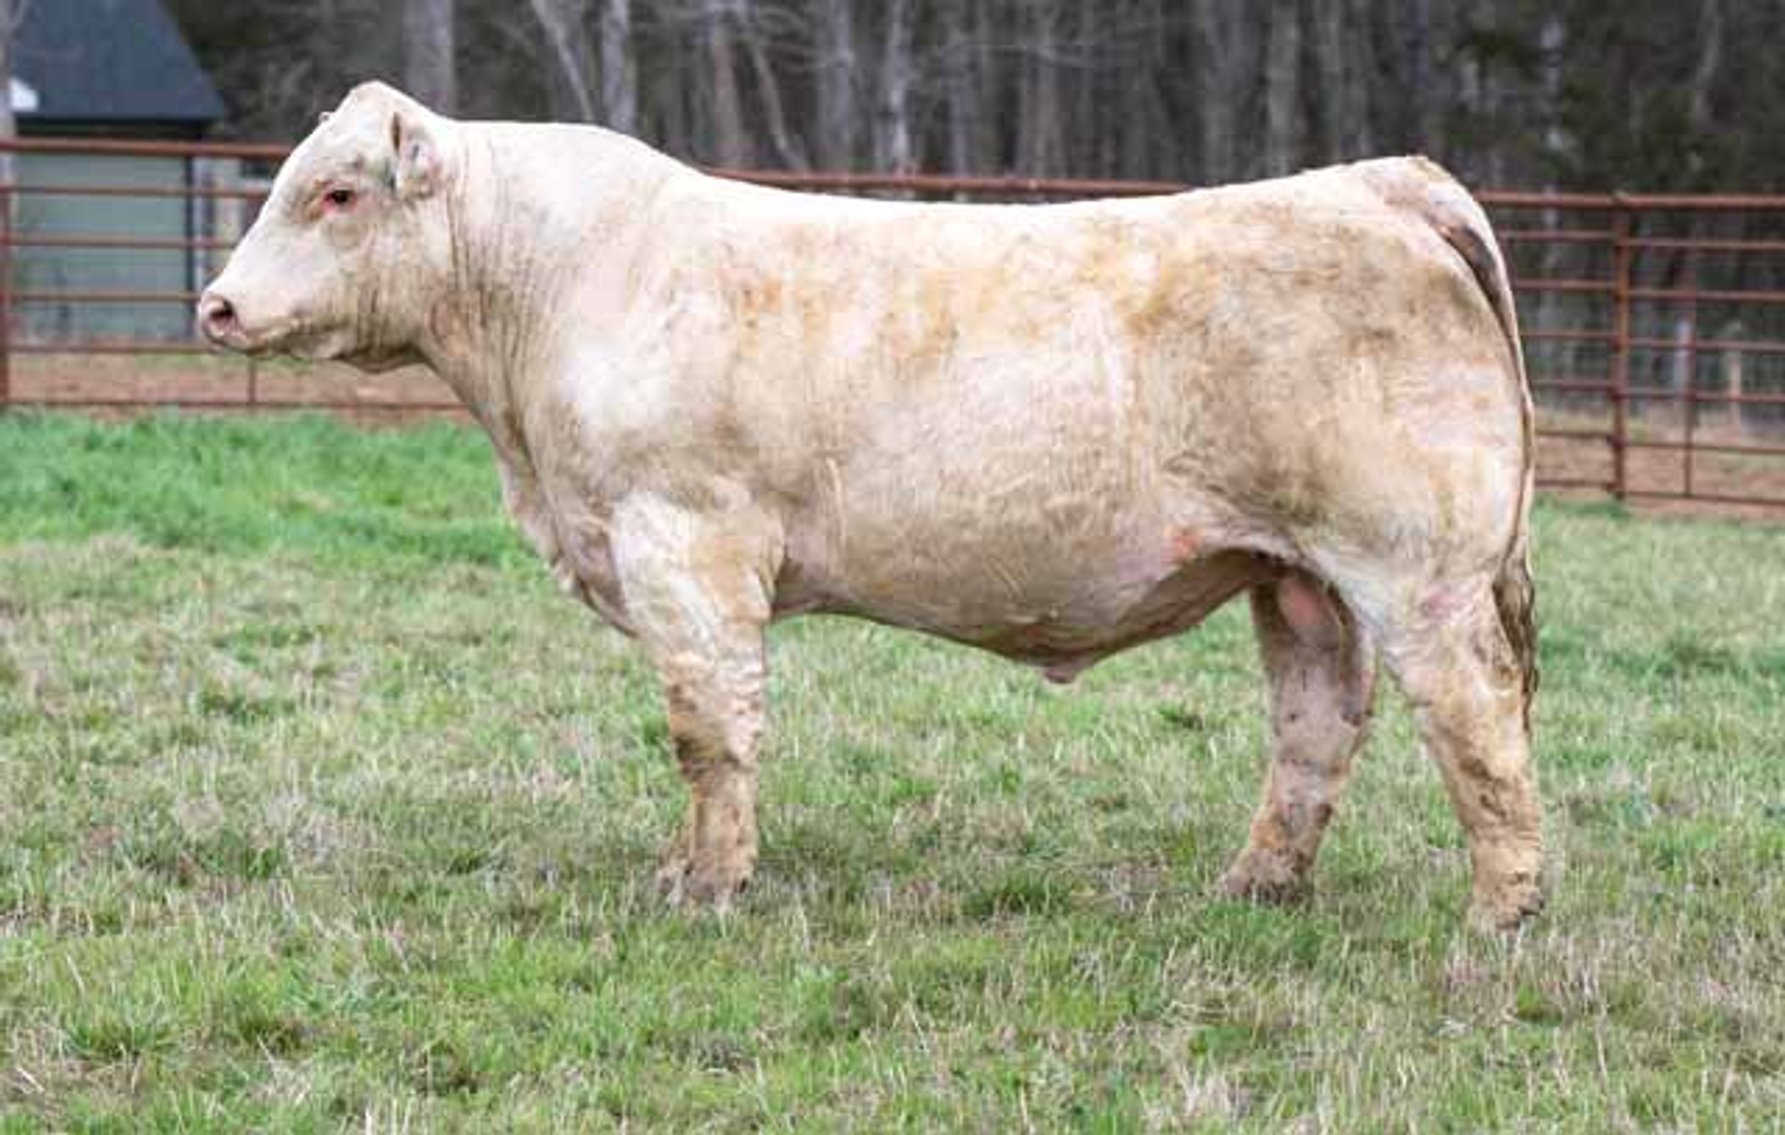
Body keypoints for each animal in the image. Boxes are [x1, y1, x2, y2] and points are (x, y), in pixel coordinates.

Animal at [199, 82, 1543, 932]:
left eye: (336, 194)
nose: (216, 305)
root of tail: (1381, 183)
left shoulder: (681, 540)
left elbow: (707, 729)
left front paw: (707, 889)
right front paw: (683, 872)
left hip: (1415, 566)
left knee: (1476, 718)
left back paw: (1498, 917)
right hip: (1299, 574)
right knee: (1318, 723)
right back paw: (1256, 889)